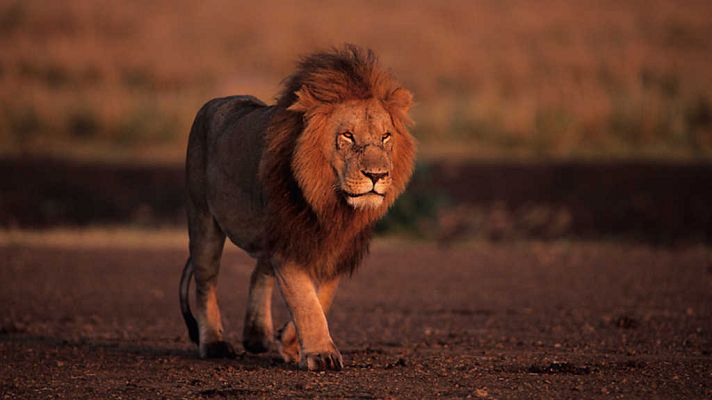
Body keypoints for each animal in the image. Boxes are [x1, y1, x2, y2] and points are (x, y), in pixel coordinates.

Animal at [179, 45, 415, 371]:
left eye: (385, 137)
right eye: (347, 135)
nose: (377, 175)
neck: (330, 203)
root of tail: (216, 102)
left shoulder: (336, 246)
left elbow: (321, 298)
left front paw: (290, 343)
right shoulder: (288, 240)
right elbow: (305, 300)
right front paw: (321, 354)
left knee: (259, 272)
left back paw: (257, 335)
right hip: (203, 221)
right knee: (206, 283)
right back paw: (214, 343)